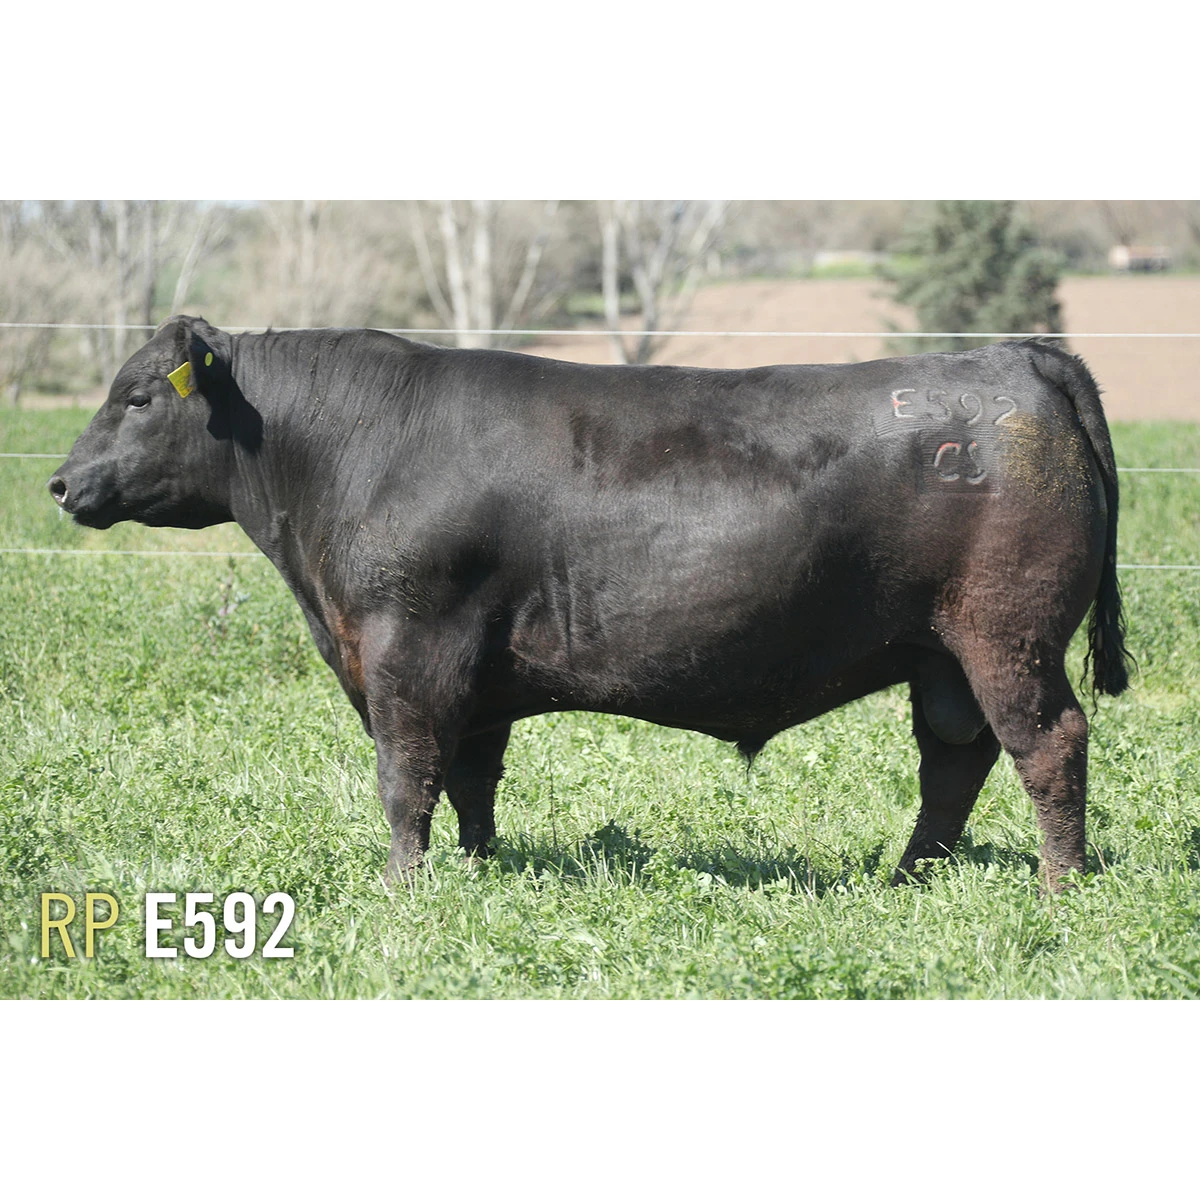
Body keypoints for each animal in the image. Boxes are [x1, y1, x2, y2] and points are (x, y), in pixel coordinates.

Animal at [49, 315, 1131, 890]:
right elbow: (471, 779)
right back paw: (906, 878)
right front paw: (480, 868)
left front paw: (404, 886)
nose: (60, 484)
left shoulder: (410, 647)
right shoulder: (473, 673)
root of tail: (1011, 357)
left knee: (1048, 745)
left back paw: (1059, 884)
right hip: (942, 654)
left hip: (1008, 633)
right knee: (953, 761)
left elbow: (406, 776)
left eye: (139, 397)